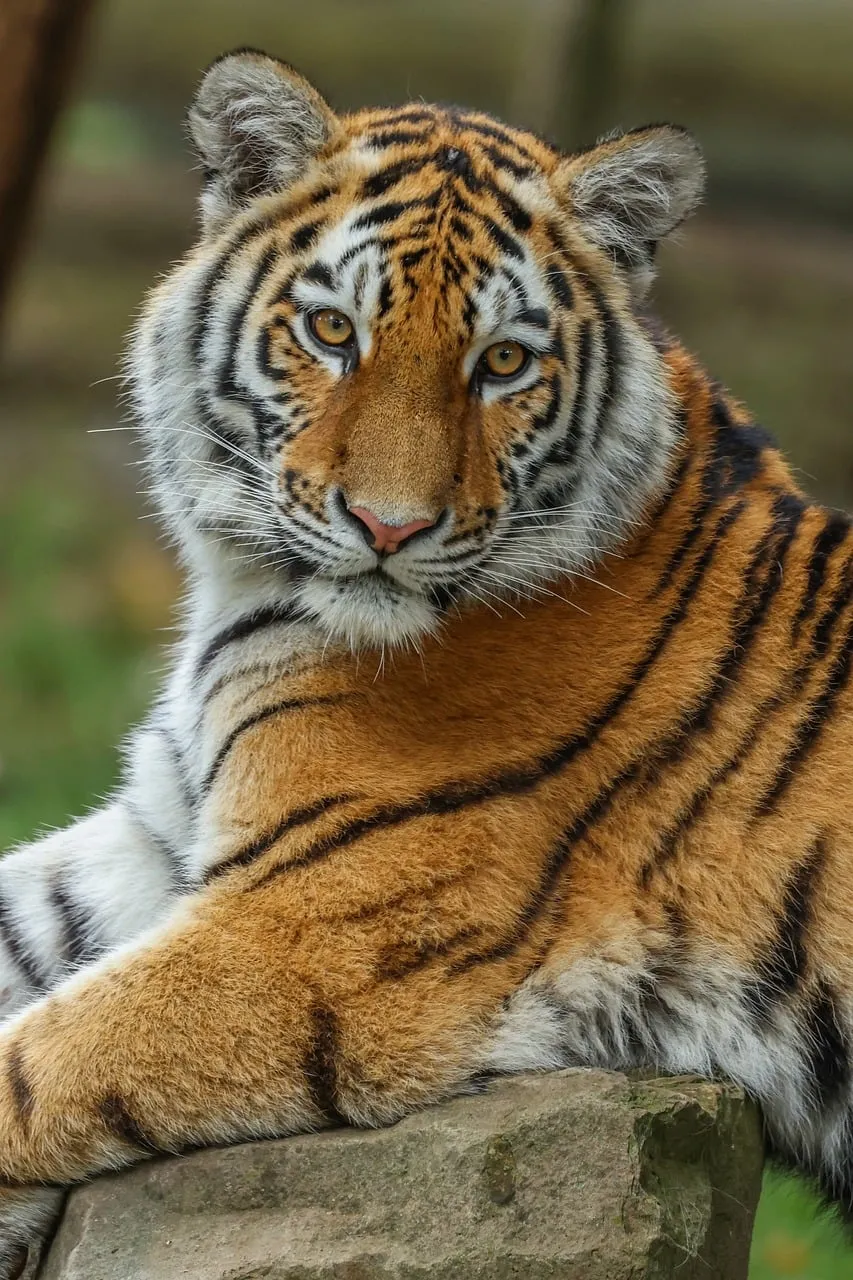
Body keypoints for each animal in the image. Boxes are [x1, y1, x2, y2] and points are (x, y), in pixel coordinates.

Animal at [0, 45, 851, 1274]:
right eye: (330, 332)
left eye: (501, 362)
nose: (388, 526)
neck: (249, 593)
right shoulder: (166, 829)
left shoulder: (304, 932)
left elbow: (34, 1065)